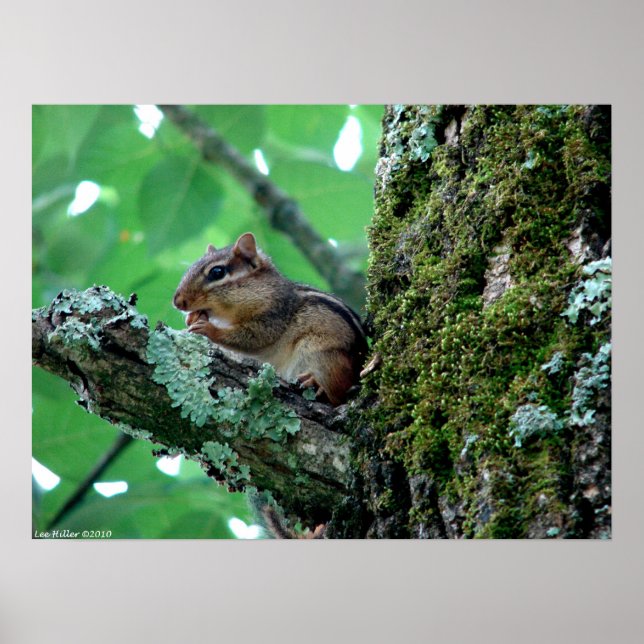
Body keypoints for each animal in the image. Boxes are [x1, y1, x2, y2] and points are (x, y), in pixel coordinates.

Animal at [173, 232, 367, 406]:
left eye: (217, 272)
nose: (177, 302)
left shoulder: (274, 315)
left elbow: (255, 338)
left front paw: (208, 328)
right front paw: (191, 318)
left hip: (323, 356)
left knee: (338, 394)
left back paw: (316, 383)